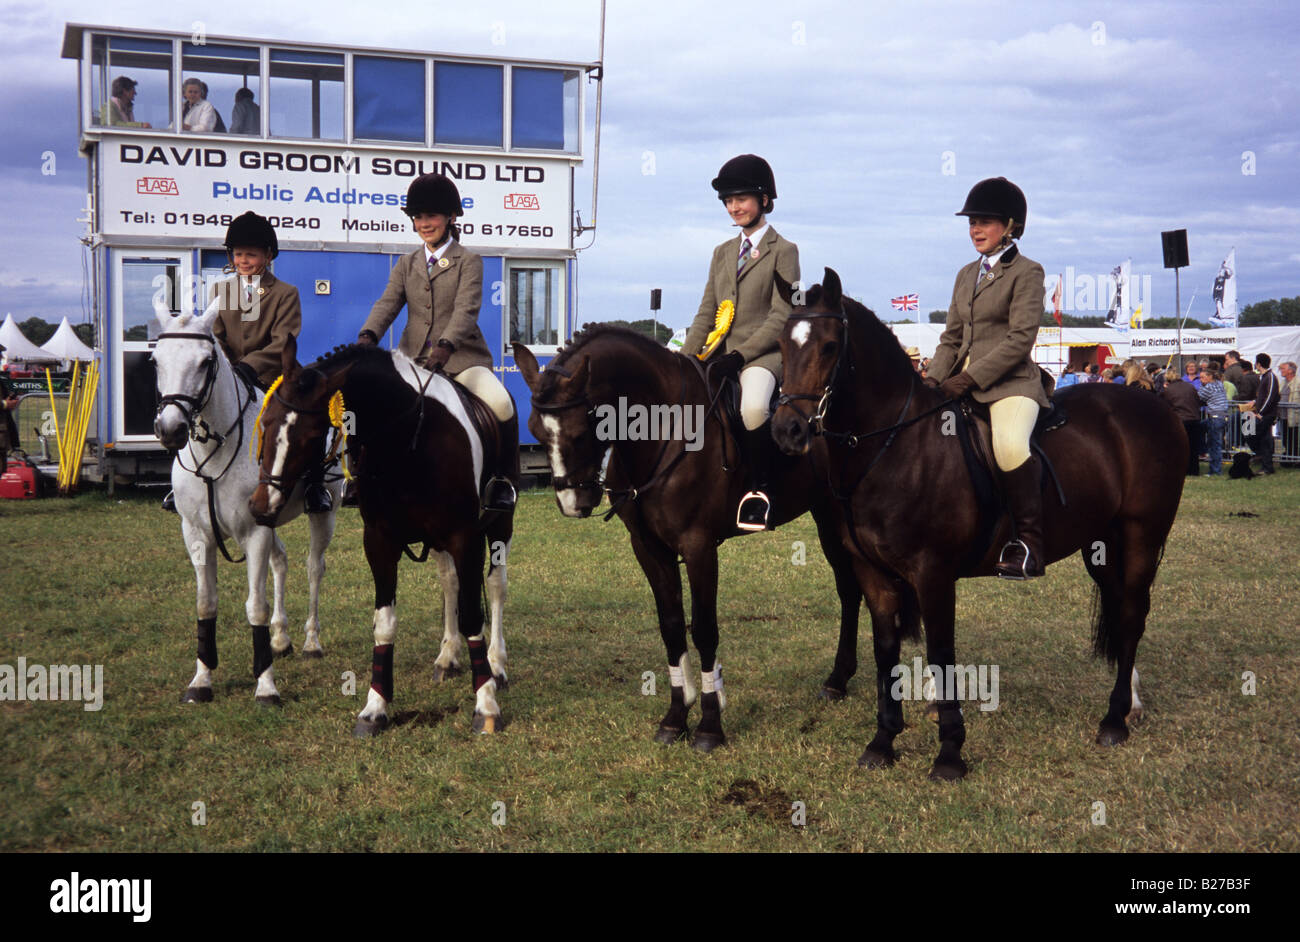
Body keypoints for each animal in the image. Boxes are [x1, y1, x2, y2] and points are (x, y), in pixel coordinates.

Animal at [150, 297, 343, 701]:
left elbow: (256, 606)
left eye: (205, 362)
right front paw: (201, 681)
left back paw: (311, 643)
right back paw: (281, 639)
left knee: (314, 567)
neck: (215, 453)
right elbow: (205, 604)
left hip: (325, 513)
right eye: (156, 360)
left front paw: (266, 687)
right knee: (281, 562)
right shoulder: (197, 534)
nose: (170, 429)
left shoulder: (254, 532)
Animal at [250, 335, 514, 732]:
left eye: (311, 434)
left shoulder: (465, 538)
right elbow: (385, 624)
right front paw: (375, 708)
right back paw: (447, 657)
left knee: (495, 586)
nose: (261, 507)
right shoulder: (379, 541)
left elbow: (472, 615)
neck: (407, 441)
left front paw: (485, 705)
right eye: (265, 422)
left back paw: (496, 666)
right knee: (449, 583)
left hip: (499, 525)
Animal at [512, 327, 868, 753]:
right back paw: (838, 680)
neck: (661, 431)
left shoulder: (698, 547)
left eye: (583, 431)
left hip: (837, 514)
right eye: (534, 429)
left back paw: (839, 680)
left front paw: (710, 725)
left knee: (850, 588)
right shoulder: (648, 548)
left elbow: (704, 628)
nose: (573, 503)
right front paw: (676, 716)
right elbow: (670, 625)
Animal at [769, 266, 1190, 779]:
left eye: (830, 346)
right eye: (782, 345)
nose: (787, 430)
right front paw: (883, 742)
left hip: (1141, 536)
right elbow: (886, 648)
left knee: (1130, 615)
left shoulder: (932, 573)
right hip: (1102, 544)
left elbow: (941, 652)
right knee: (1120, 607)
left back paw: (1114, 720)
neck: (894, 445)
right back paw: (1128, 704)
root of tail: (1155, 406)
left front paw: (950, 753)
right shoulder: (874, 573)